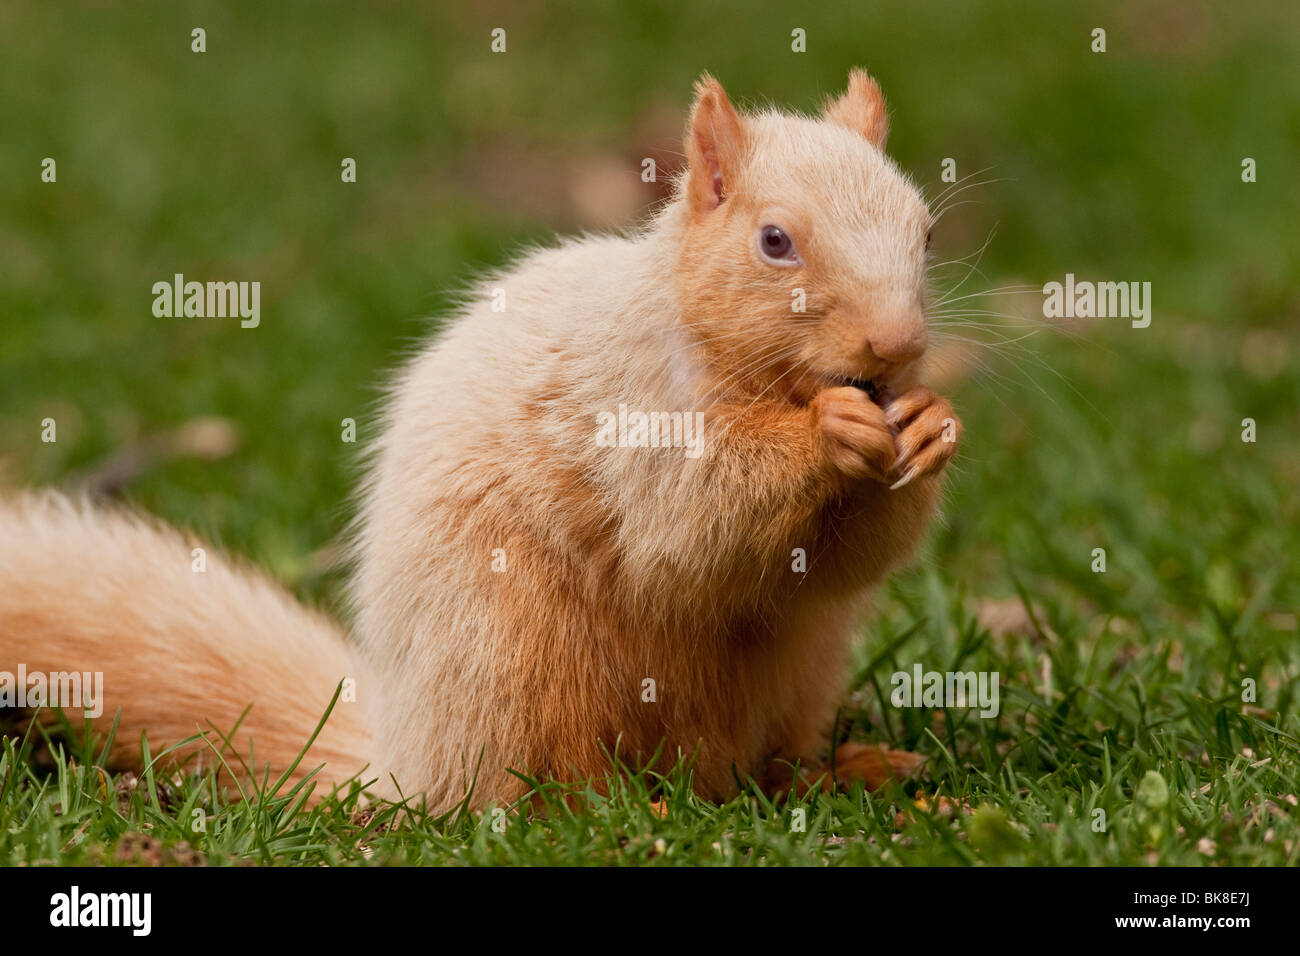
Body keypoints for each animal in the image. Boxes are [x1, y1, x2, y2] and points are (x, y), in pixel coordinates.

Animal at [1, 69, 960, 812]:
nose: (897, 345)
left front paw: (929, 424)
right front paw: (827, 432)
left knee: (760, 768)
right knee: (530, 788)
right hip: (515, 660)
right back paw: (619, 806)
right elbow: (690, 525)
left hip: (801, 669)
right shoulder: (629, 412)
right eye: (774, 241)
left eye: (925, 229)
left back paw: (851, 770)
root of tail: (402, 759)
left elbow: (845, 558)